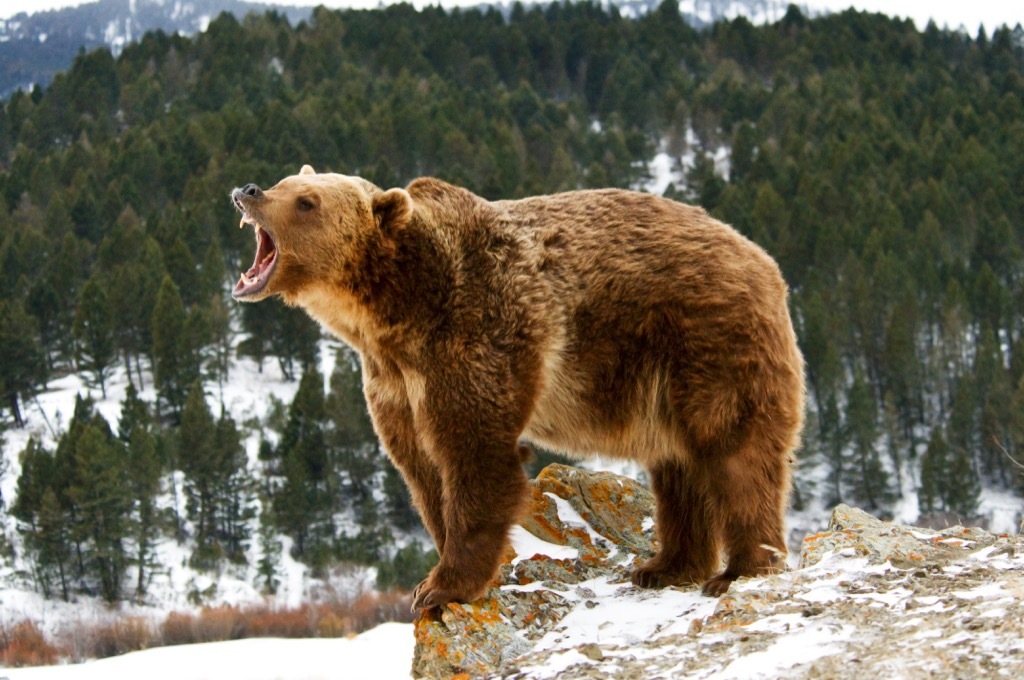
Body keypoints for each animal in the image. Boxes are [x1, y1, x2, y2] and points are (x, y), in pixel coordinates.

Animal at [230, 165, 805, 610]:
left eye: (307, 201)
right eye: (287, 181)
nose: (249, 190)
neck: (395, 313)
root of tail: (765, 261)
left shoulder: (477, 332)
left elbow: (476, 454)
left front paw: (441, 587)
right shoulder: (393, 381)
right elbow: (422, 470)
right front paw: (437, 572)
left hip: (708, 340)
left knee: (734, 452)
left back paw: (740, 569)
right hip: (663, 380)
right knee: (678, 466)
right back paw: (665, 565)